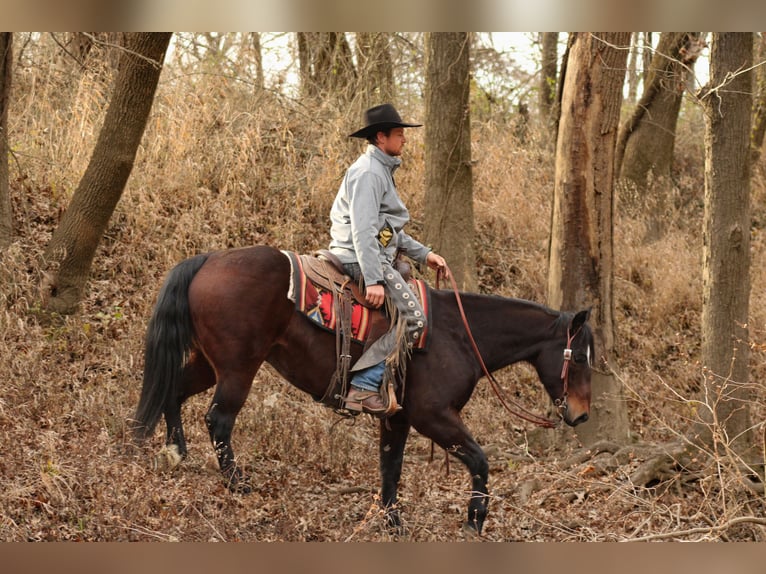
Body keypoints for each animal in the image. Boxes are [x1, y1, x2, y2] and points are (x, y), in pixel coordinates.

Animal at [133, 244, 593, 535]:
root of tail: (209, 259)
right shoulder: (433, 416)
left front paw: (393, 523)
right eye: (580, 357)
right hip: (238, 368)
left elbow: (391, 468)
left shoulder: (398, 417)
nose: (582, 414)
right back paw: (236, 483)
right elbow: (479, 460)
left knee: (173, 391)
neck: (460, 335)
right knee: (219, 419)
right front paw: (474, 520)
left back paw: (174, 450)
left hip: (211, 364)